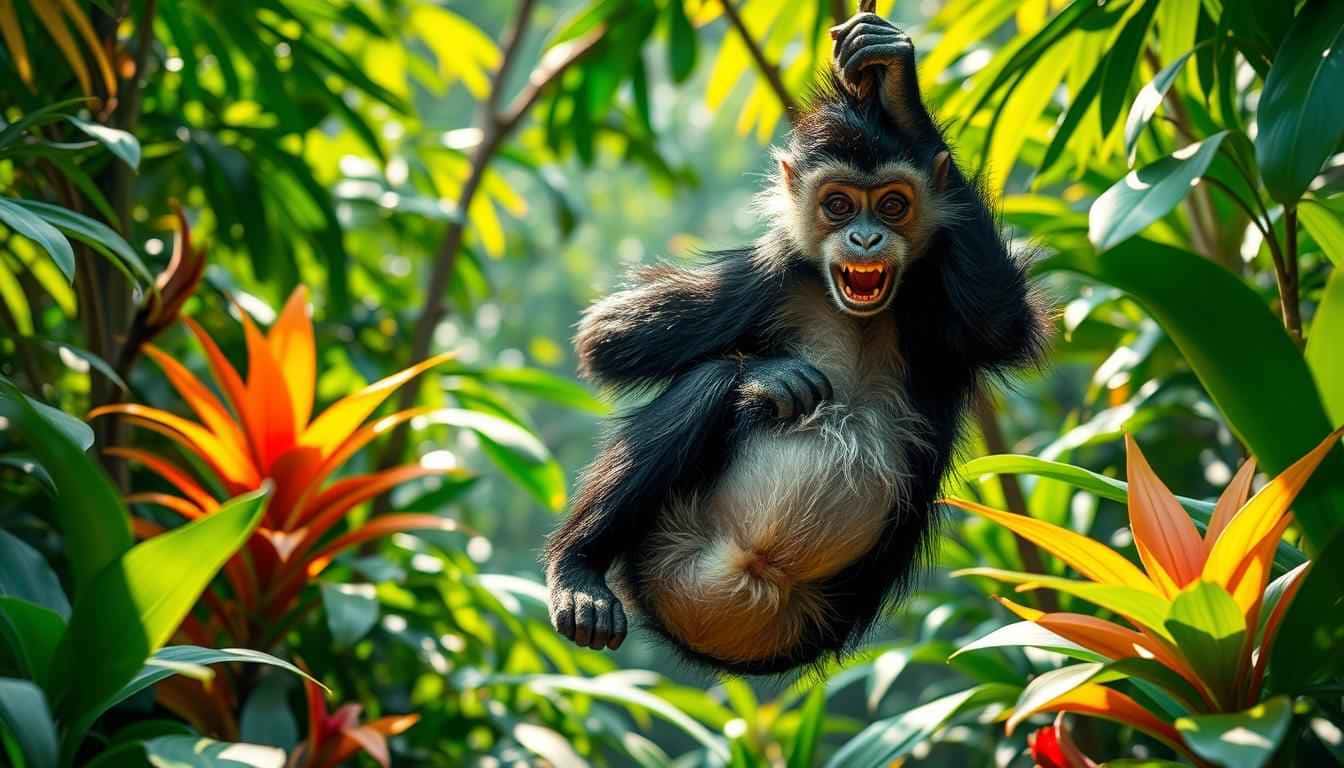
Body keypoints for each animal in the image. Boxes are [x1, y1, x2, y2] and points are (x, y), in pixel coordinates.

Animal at [544, 12, 1047, 675]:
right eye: (838, 205)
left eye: (892, 204)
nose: (865, 238)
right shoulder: (775, 274)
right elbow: (606, 338)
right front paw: (769, 374)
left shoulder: (933, 307)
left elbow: (1003, 324)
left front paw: (899, 91)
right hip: (657, 553)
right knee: (709, 381)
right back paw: (577, 571)